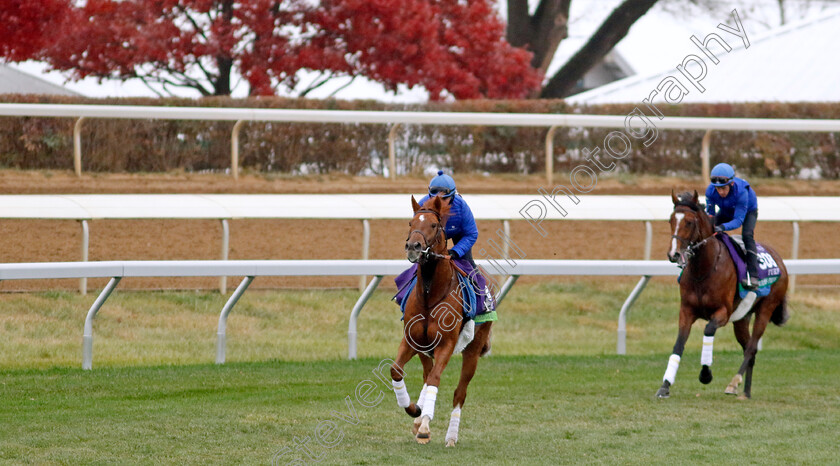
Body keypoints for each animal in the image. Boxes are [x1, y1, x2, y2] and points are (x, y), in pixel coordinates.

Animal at [388, 195, 492, 446]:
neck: (430, 295)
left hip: (473, 350)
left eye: (434, 225)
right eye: (410, 223)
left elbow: (436, 378)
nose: (413, 247)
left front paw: (425, 426)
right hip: (426, 349)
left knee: (459, 392)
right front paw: (414, 410)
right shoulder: (412, 340)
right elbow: (397, 370)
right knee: (426, 375)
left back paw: (451, 436)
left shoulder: (446, 343)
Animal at [656, 191, 788, 398]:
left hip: (766, 308)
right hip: (741, 319)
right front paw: (665, 385)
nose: (673, 254)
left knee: (751, 348)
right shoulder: (686, 311)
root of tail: (780, 260)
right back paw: (746, 392)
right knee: (749, 350)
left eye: (689, 222)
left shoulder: (722, 313)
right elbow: (678, 344)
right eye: (670, 220)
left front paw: (705, 374)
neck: (704, 269)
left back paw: (734, 383)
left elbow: (708, 330)